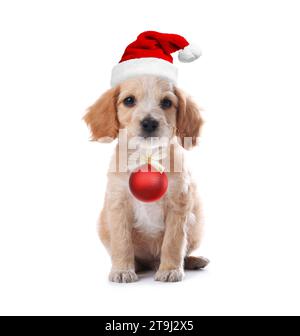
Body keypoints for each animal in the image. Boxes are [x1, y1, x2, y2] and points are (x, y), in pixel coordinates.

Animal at [84, 75, 209, 282]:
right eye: (129, 100)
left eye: (166, 102)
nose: (149, 123)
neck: (147, 156)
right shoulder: (118, 204)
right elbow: (122, 242)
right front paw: (122, 270)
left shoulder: (178, 204)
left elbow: (173, 242)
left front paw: (170, 269)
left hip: (197, 223)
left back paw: (193, 261)